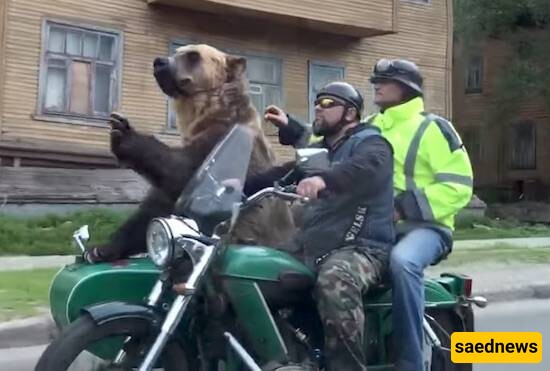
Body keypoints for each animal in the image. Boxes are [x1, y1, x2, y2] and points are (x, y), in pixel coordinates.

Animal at [89, 43, 298, 264]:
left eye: (193, 55)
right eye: (177, 51)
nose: (160, 62)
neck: (204, 115)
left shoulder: (225, 142)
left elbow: (184, 171)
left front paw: (123, 133)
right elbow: (153, 209)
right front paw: (99, 250)